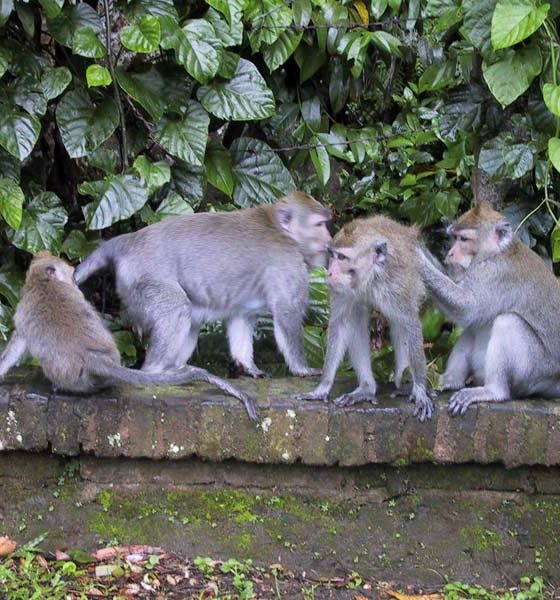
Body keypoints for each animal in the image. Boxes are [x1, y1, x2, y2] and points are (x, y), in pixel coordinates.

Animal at [72, 192, 330, 380]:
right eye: (319, 225)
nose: (329, 240)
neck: (282, 231)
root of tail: (127, 241)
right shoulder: (288, 263)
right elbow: (287, 312)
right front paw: (303, 369)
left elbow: (241, 317)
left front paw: (248, 367)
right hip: (146, 280)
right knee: (175, 310)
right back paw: (157, 371)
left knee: (191, 320)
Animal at [296, 216, 436, 422]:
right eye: (332, 255)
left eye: (342, 258)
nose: (329, 272)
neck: (370, 278)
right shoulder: (342, 290)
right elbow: (341, 324)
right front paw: (323, 387)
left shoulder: (397, 284)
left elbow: (410, 323)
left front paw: (419, 390)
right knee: (356, 318)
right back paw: (366, 389)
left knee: (399, 324)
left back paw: (405, 384)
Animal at [416, 204, 560, 414]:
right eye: (454, 237)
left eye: (463, 239)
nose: (450, 254)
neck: (497, 253)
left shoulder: (495, 274)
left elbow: (466, 308)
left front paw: (415, 256)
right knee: (474, 328)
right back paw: (451, 381)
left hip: (536, 373)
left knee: (508, 321)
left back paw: (493, 391)